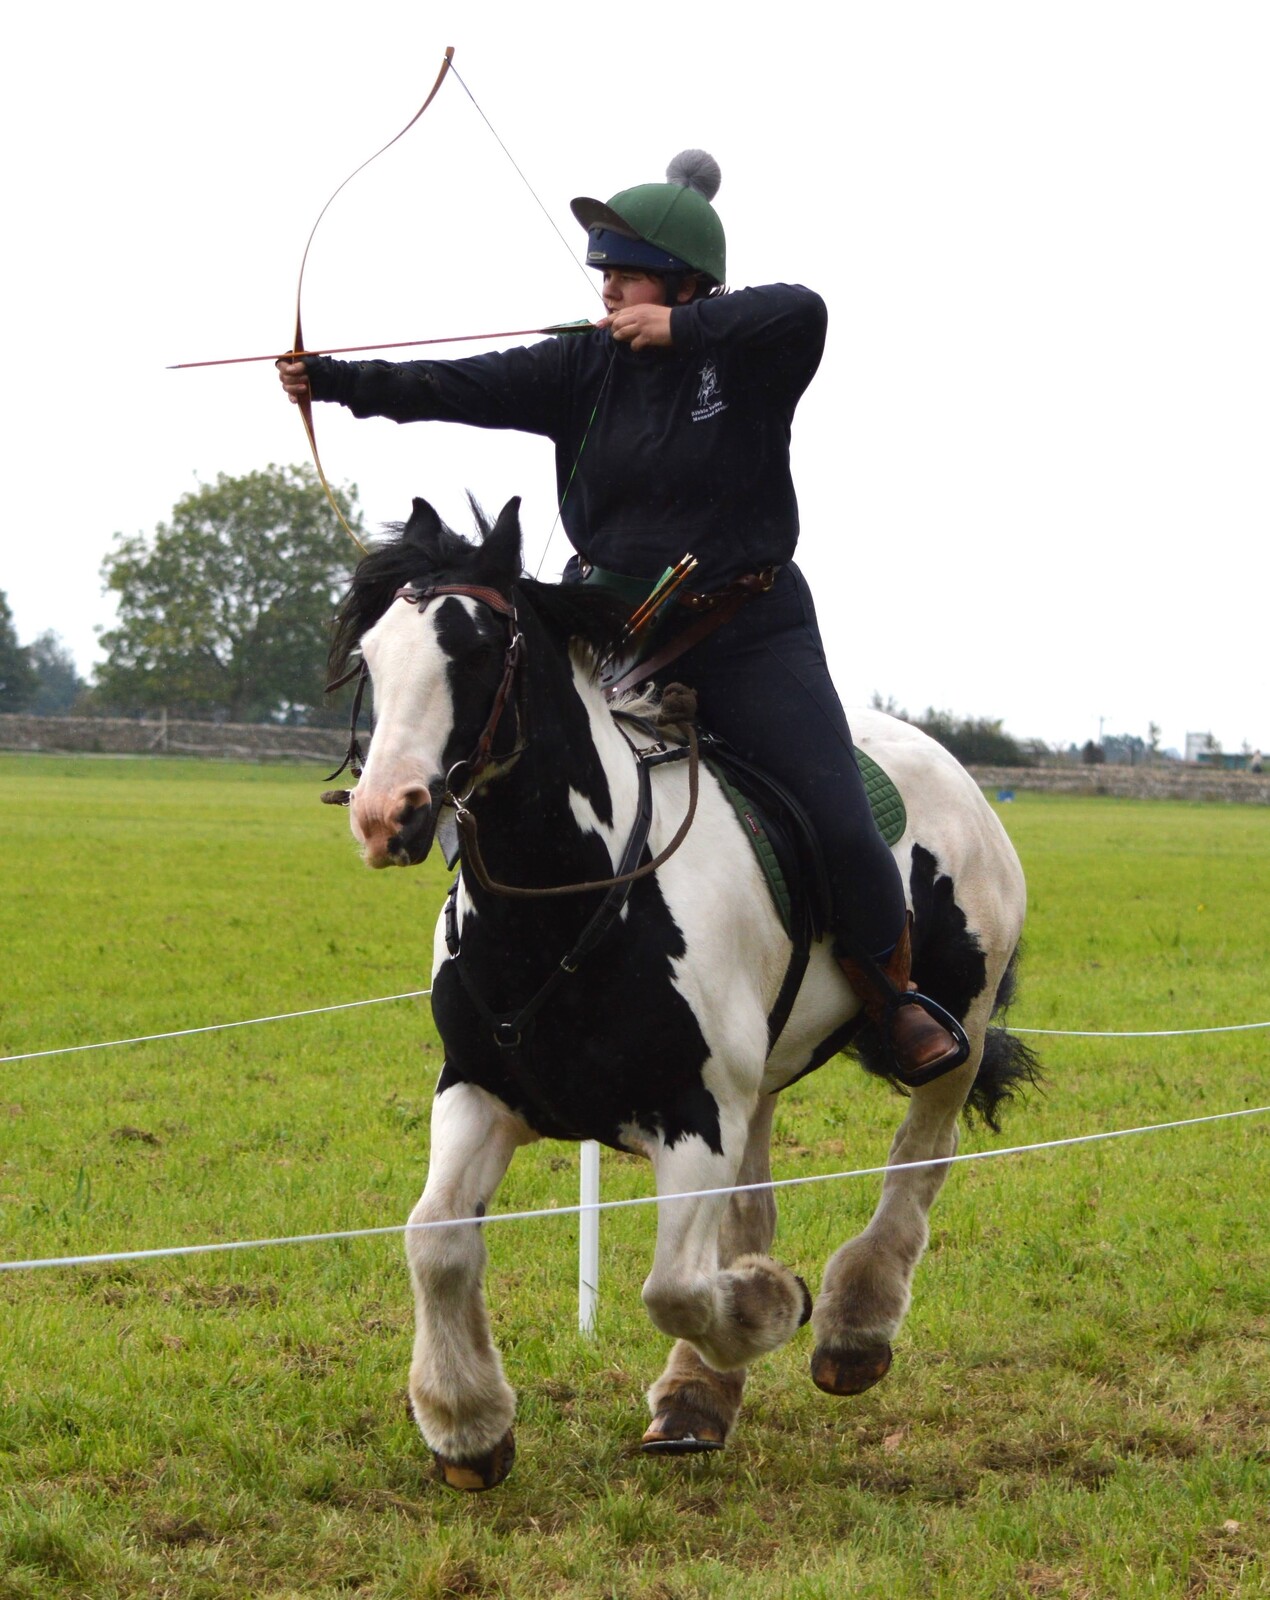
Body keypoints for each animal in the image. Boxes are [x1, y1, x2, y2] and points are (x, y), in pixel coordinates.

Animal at [331, 496, 1036, 1484]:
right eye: (371, 654)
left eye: (475, 647)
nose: (385, 813)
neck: (567, 913)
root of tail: (950, 769)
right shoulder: (477, 1091)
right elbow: (435, 1241)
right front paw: (469, 1426)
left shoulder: (695, 1118)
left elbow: (674, 1286)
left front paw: (772, 1304)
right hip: (761, 1081)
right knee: (753, 1206)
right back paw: (698, 1397)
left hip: (950, 1033)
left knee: (919, 1159)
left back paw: (851, 1329)